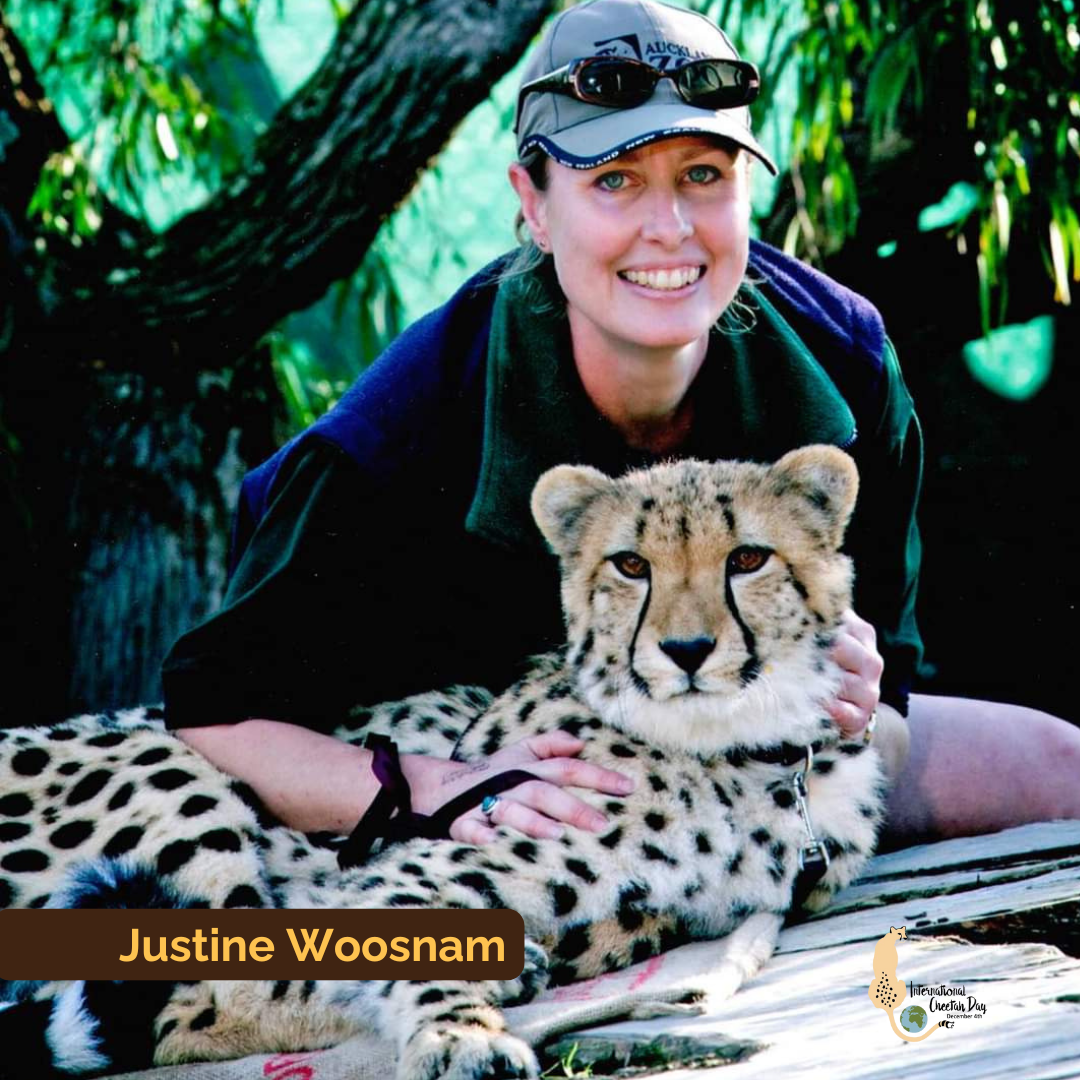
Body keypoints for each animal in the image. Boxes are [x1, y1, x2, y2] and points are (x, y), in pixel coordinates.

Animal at [0, 444, 885, 1080]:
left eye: (748, 560)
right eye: (631, 565)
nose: (688, 649)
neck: (742, 754)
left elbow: (636, 919)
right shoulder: (401, 872)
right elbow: (390, 946)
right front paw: (461, 1038)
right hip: (166, 764)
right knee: (196, 998)